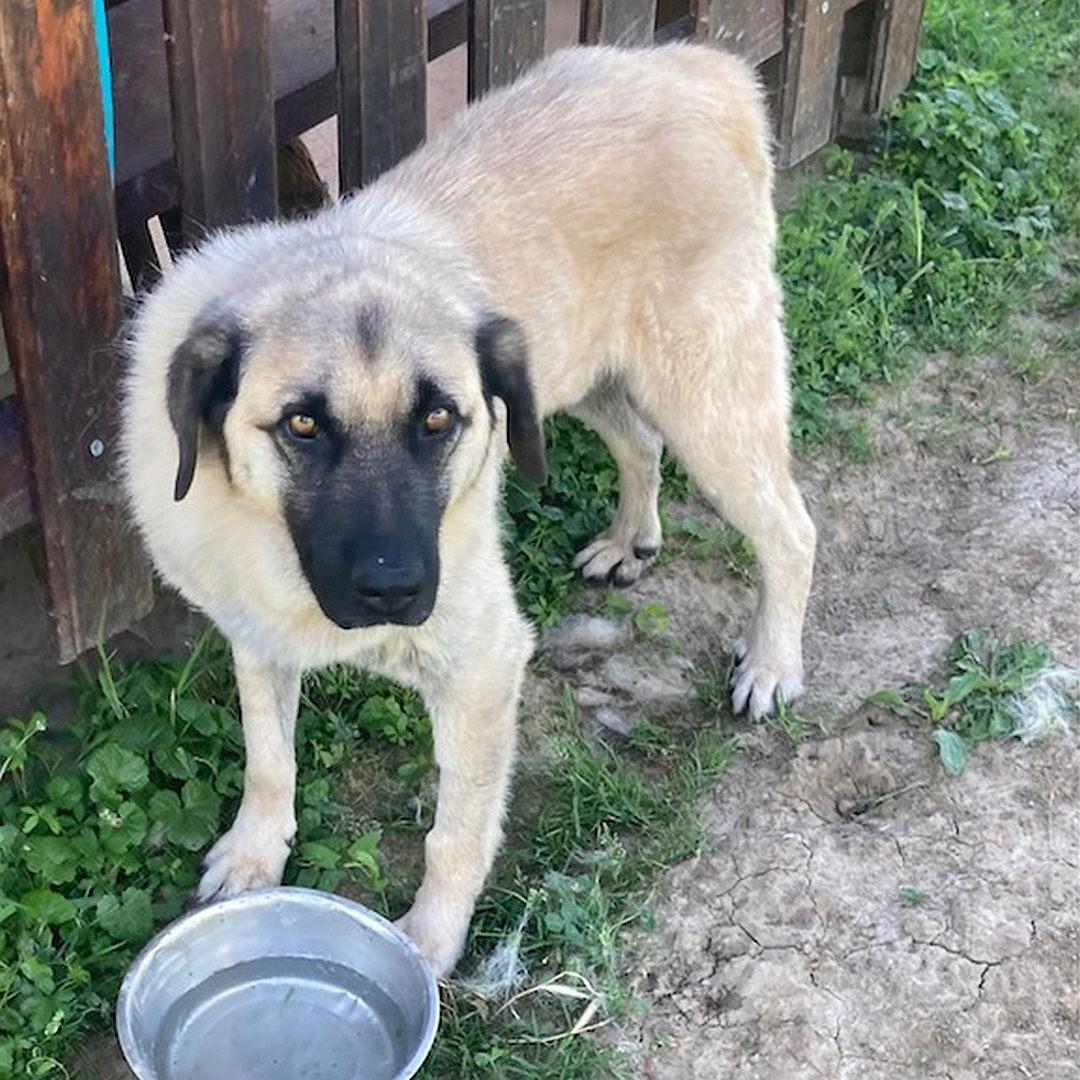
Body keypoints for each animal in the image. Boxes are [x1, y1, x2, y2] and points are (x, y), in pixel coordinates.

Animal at [120, 42, 812, 976]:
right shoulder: (257, 641)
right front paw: (257, 851)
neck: (276, 558)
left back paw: (773, 662)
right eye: (303, 424)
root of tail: (694, 66)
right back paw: (630, 540)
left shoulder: (484, 666)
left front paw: (431, 941)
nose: (394, 588)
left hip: (707, 406)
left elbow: (453, 832)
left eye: (439, 419)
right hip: (574, 383)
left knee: (792, 529)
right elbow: (268, 758)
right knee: (640, 444)